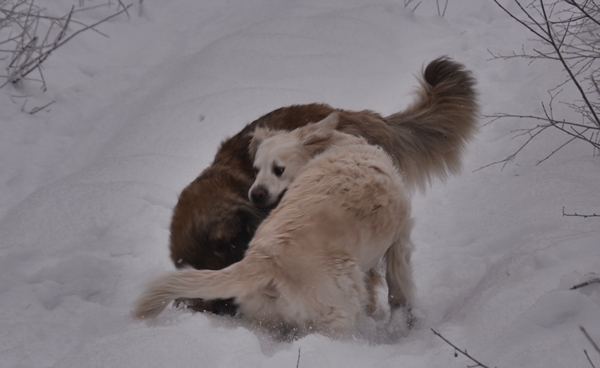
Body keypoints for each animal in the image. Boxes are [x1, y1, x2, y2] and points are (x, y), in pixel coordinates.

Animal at [132, 113, 414, 340]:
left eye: (278, 169)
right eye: (256, 169)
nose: (255, 194)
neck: (336, 146)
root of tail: (263, 261)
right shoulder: (400, 238)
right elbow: (400, 286)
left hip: (265, 316)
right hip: (340, 310)